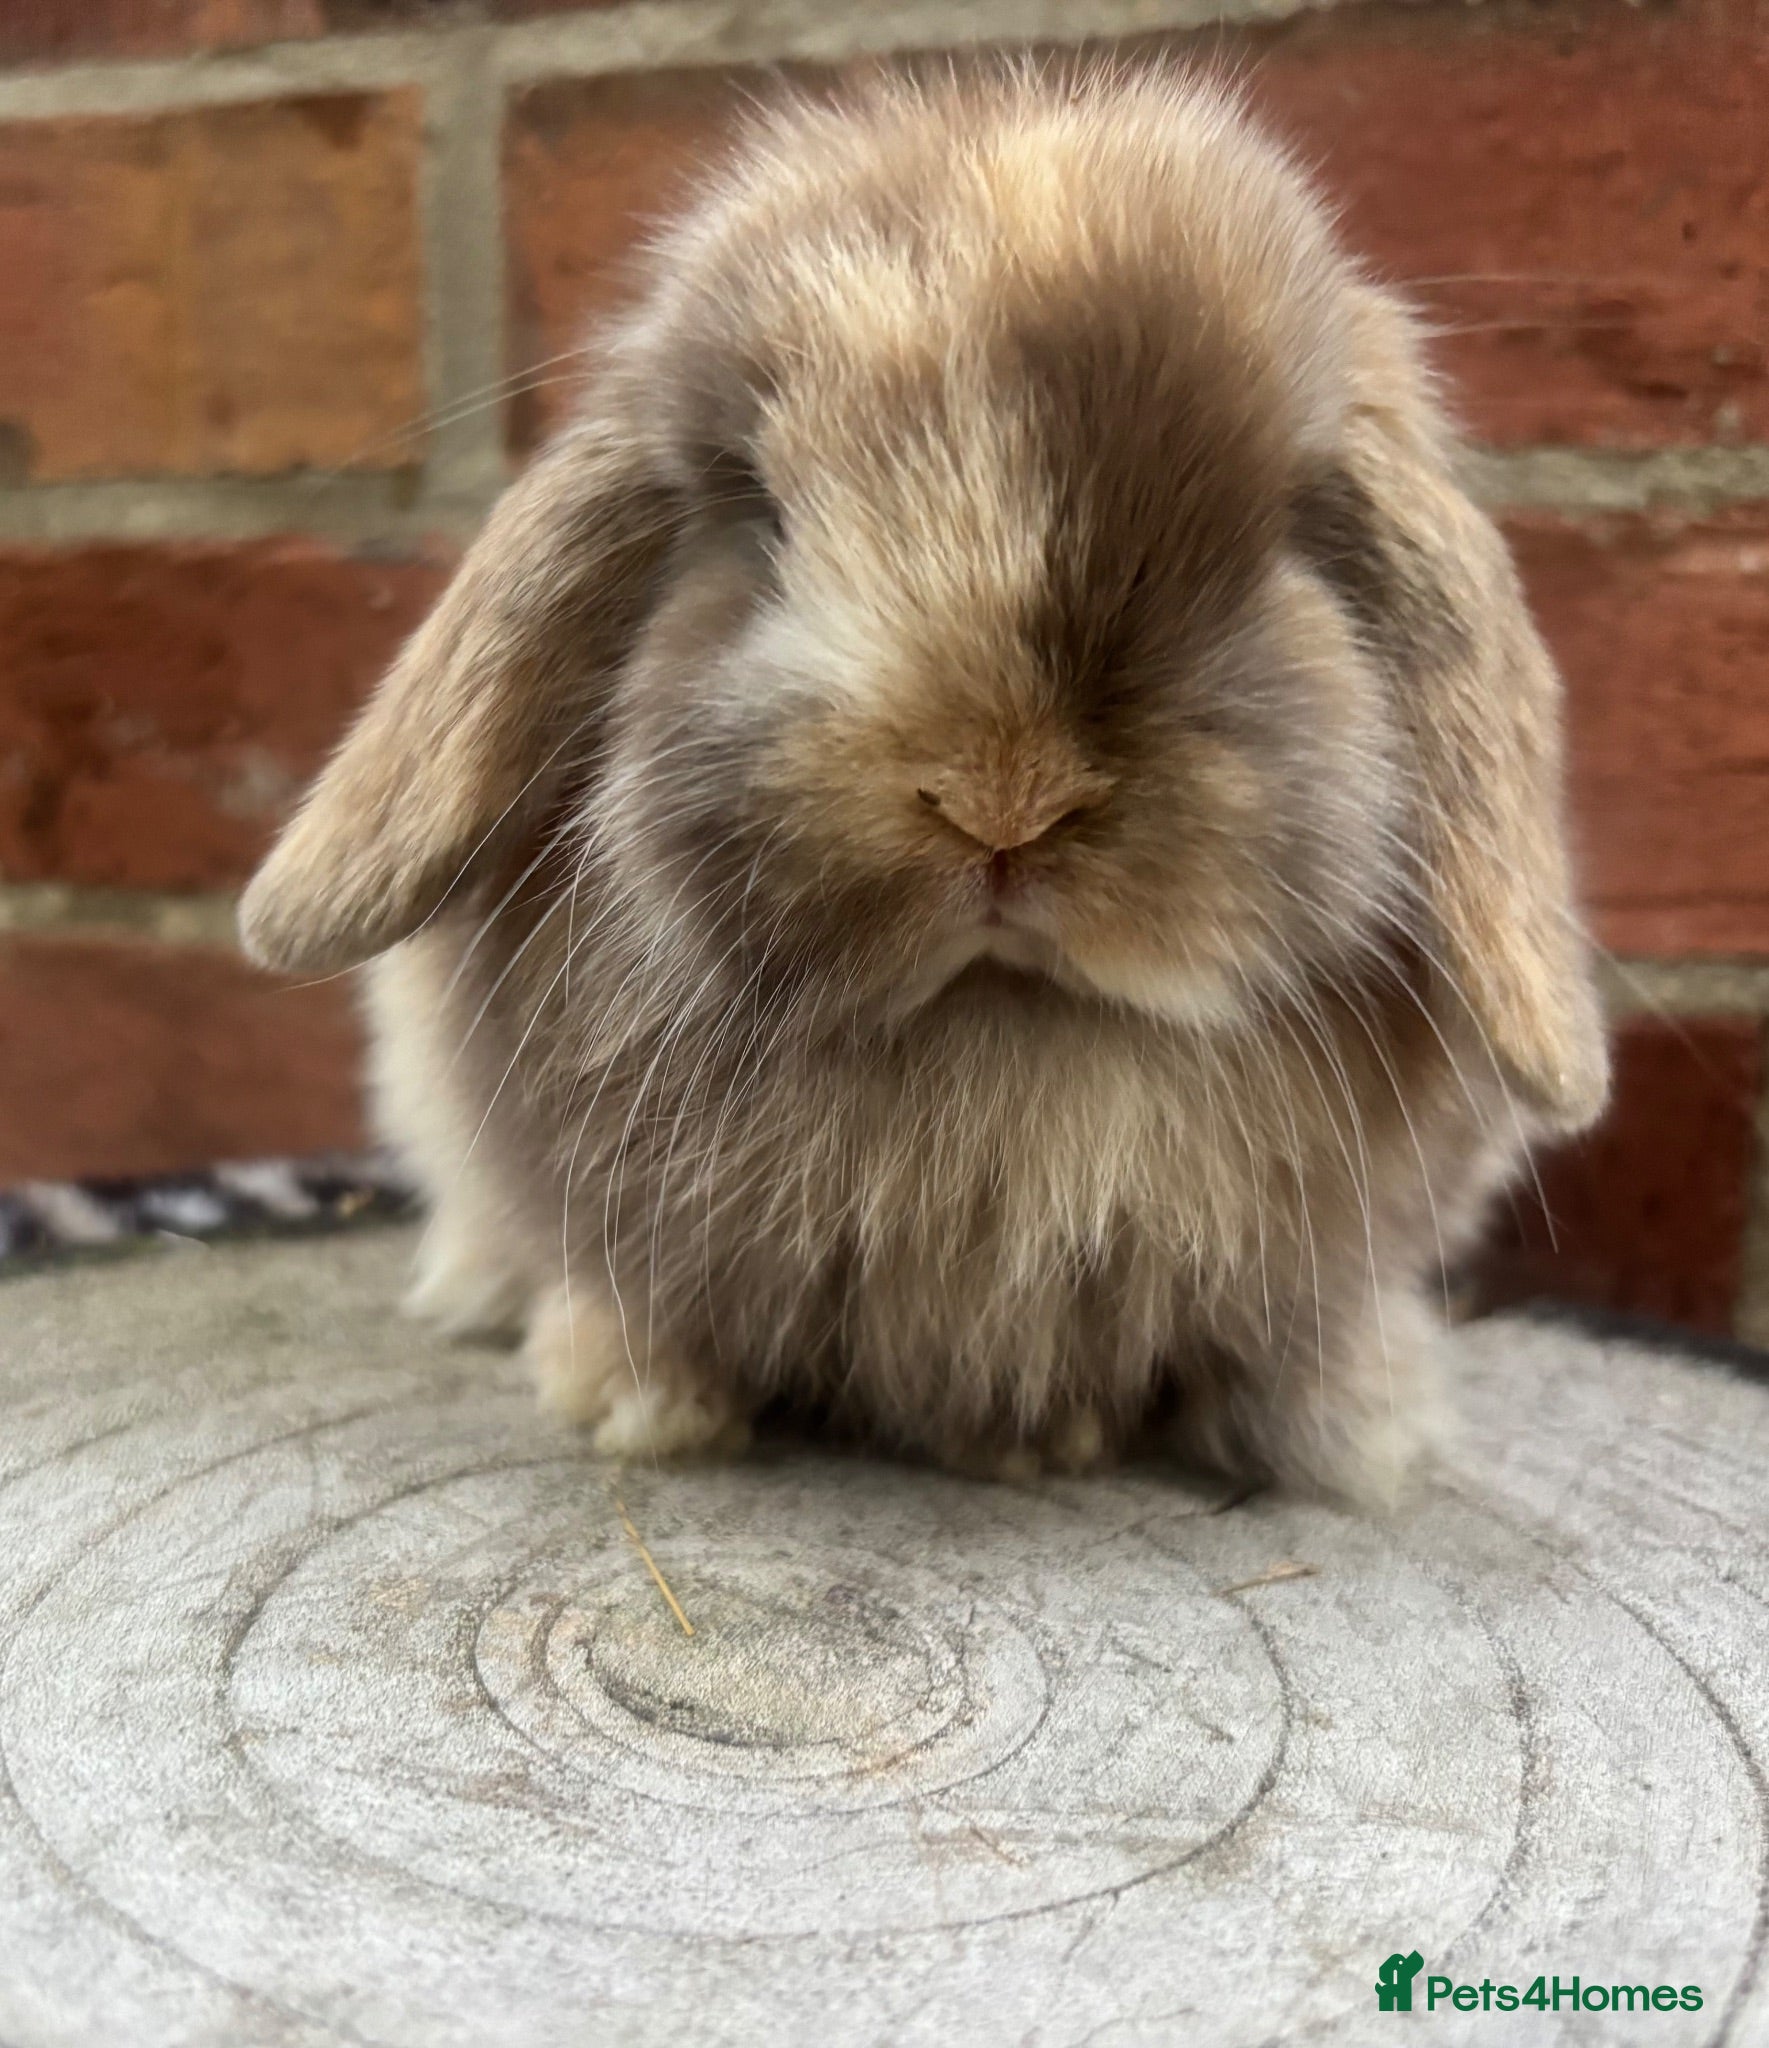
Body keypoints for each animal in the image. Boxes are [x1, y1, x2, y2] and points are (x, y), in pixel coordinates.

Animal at [240, 61, 1608, 1501]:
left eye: (1275, 540)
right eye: (760, 515)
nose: (1002, 801)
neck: (1002, 1058)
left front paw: (1305, 1430)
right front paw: (636, 1399)